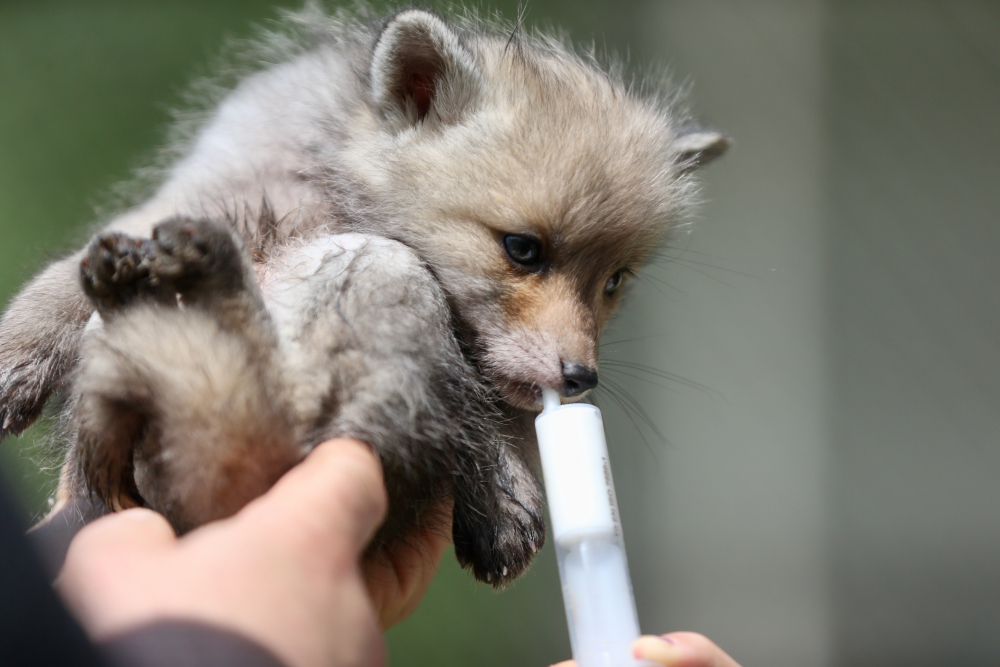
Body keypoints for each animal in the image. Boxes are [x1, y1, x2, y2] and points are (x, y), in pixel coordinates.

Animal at [0, 6, 724, 588]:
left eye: (614, 281)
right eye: (522, 248)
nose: (580, 378)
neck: (336, 188)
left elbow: (480, 397)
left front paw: (505, 487)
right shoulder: (196, 200)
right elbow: (62, 281)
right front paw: (17, 358)